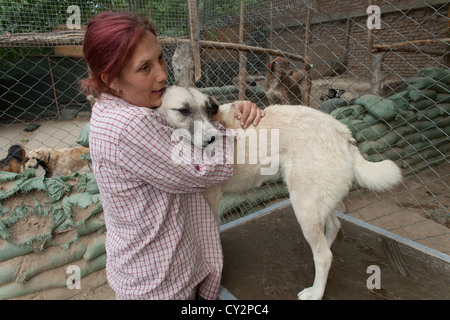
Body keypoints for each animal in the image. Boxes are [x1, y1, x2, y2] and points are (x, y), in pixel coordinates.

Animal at [156, 85, 402, 300]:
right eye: (183, 111)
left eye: (208, 110)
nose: (213, 139)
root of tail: (341, 132)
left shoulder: (211, 202)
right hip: (317, 201)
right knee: (333, 229)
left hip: (303, 205)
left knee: (324, 256)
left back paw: (315, 292)